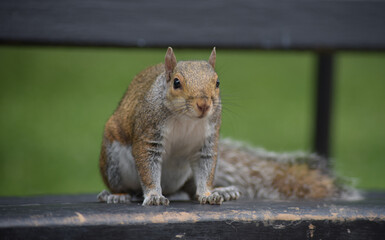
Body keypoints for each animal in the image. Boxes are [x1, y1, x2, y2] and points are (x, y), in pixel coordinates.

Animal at [97, 47, 360, 206]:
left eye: (217, 82)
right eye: (176, 83)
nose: (204, 104)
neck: (186, 119)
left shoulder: (207, 140)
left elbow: (206, 170)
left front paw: (207, 193)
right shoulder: (148, 132)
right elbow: (148, 167)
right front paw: (153, 196)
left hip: (184, 175)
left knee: (187, 189)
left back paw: (222, 190)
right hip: (114, 161)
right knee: (125, 185)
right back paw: (117, 195)